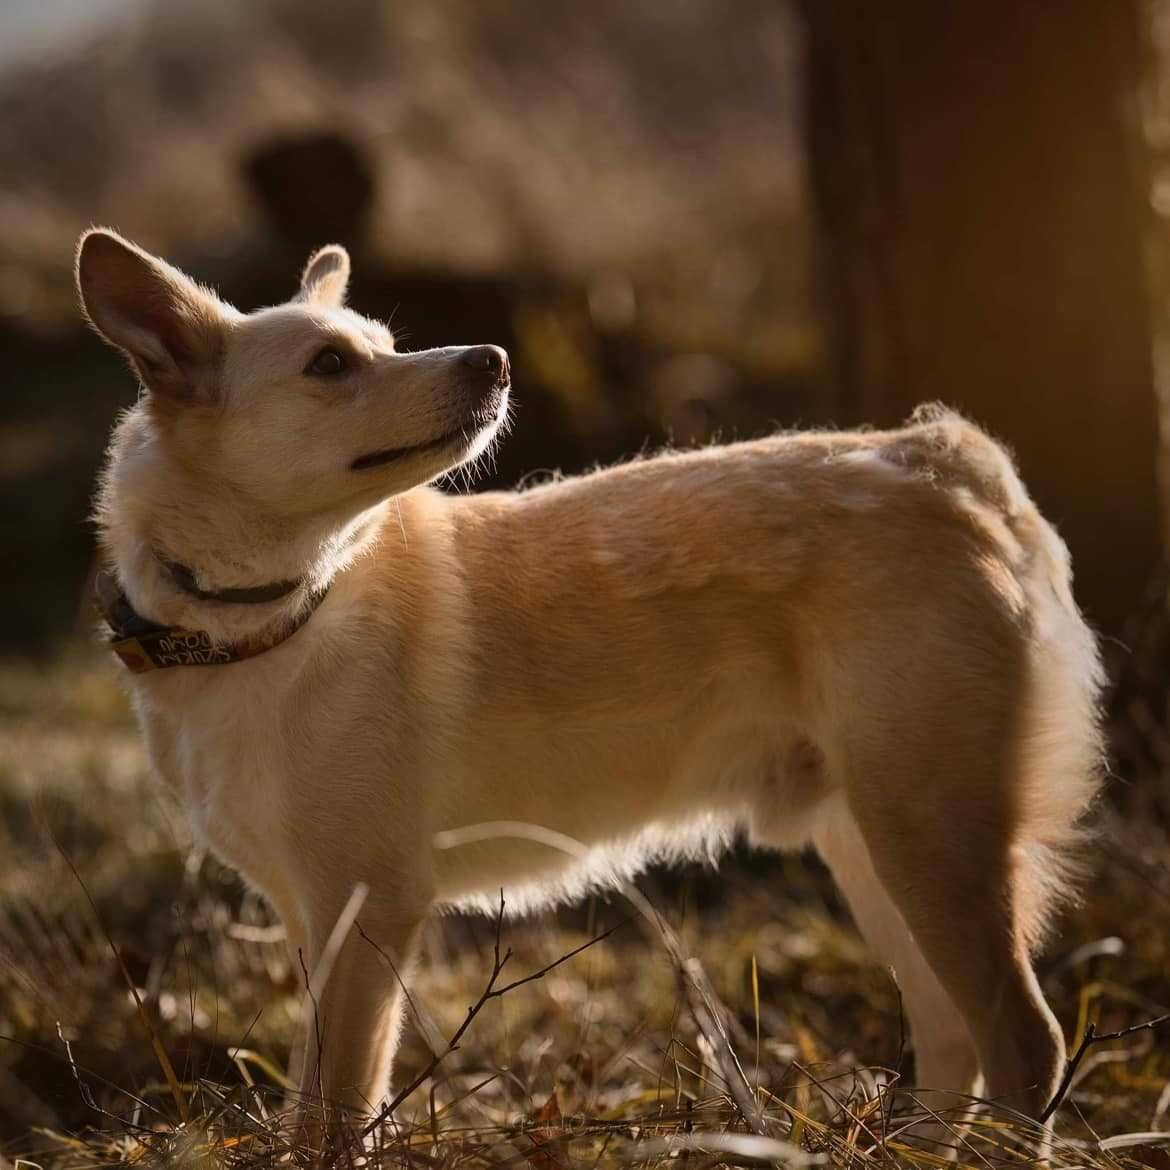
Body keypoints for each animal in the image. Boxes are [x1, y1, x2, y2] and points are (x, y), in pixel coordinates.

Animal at [77, 230, 1099, 1132]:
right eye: (330, 363)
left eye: (385, 343)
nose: (493, 360)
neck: (269, 620)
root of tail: (945, 463)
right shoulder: (311, 919)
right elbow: (307, 1100)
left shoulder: (367, 914)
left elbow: (331, 1121)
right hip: (875, 847)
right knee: (954, 1042)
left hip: (930, 837)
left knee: (1024, 1042)